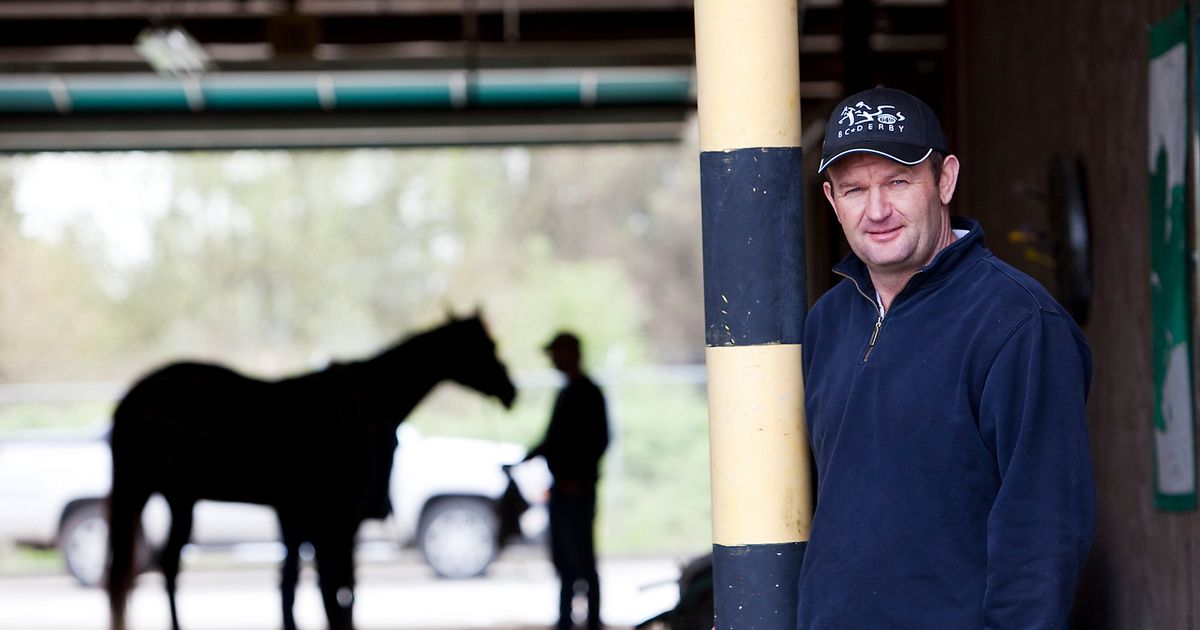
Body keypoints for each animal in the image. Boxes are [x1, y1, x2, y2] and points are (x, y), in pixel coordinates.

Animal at [105, 314, 513, 628]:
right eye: (489, 346)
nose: (511, 391)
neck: (369, 403)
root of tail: (129, 400)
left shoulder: (304, 519)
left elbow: (302, 588)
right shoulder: (337, 521)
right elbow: (335, 593)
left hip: (180, 498)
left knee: (168, 566)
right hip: (142, 490)